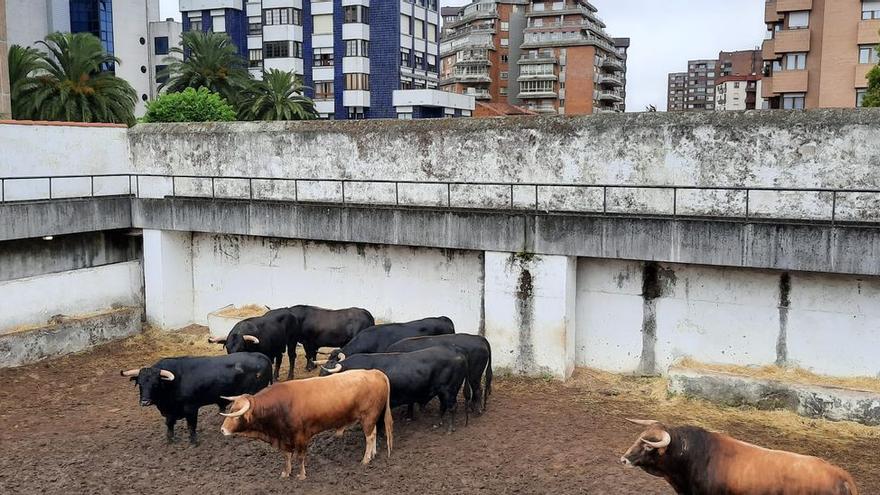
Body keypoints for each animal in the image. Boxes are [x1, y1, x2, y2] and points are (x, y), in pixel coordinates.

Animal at [119, 352, 272, 446]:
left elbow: (191, 426)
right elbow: (169, 424)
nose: (144, 401)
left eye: (155, 384)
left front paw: (194, 441)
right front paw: (170, 439)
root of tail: (261, 356)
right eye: (140, 383)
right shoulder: (170, 412)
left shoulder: (191, 408)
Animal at [218, 368, 394, 480]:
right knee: (374, 433)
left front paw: (301, 475)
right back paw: (373, 454)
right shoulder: (285, 438)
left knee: (369, 437)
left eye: (236, 416)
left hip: (368, 417)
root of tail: (374, 372)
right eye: (231, 409)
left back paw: (366, 459)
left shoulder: (301, 436)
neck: (280, 406)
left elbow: (300, 457)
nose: (222, 430)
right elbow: (287, 456)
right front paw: (286, 473)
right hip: (371, 418)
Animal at [322, 346, 468, 432]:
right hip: (443, 392)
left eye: (327, 374)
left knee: (452, 407)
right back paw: (438, 423)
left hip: (450, 390)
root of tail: (459, 354)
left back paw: (450, 429)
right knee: (443, 406)